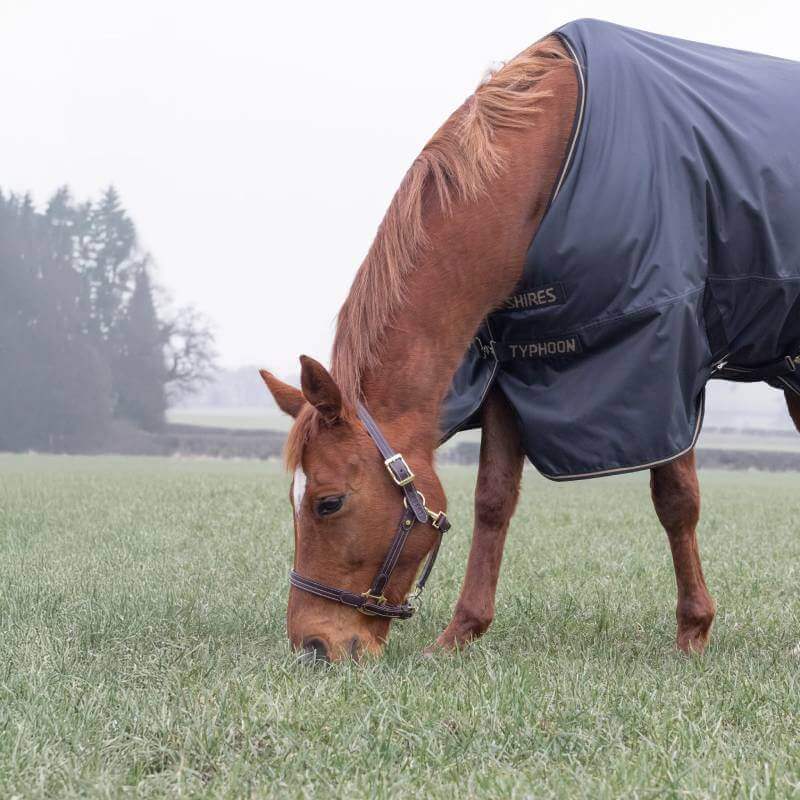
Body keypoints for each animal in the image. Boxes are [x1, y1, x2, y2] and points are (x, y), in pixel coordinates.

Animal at [261, 20, 800, 661]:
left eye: (328, 502)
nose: (313, 646)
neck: (549, 163)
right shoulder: (512, 368)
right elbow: (493, 498)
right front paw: (461, 633)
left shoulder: (659, 361)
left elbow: (676, 500)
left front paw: (693, 630)